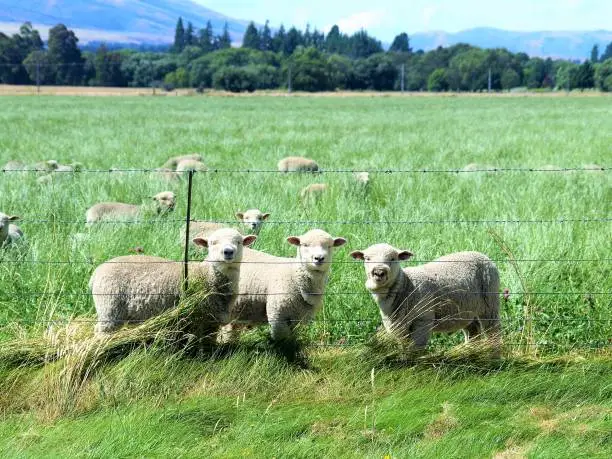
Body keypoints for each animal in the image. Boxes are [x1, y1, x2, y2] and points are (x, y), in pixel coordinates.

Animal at [89, 228, 256, 336]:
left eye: (239, 242)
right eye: (212, 243)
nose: (228, 252)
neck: (207, 275)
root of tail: (97, 271)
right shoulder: (200, 318)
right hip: (109, 306)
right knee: (101, 331)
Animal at [350, 246, 502, 354]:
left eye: (393, 258)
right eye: (367, 258)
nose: (379, 272)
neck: (407, 285)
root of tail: (481, 254)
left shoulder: (422, 320)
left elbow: (416, 349)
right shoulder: (397, 326)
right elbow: (404, 348)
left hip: (490, 303)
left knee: (493, 331)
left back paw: (494, 358)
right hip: (466, 309)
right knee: (473, 331)